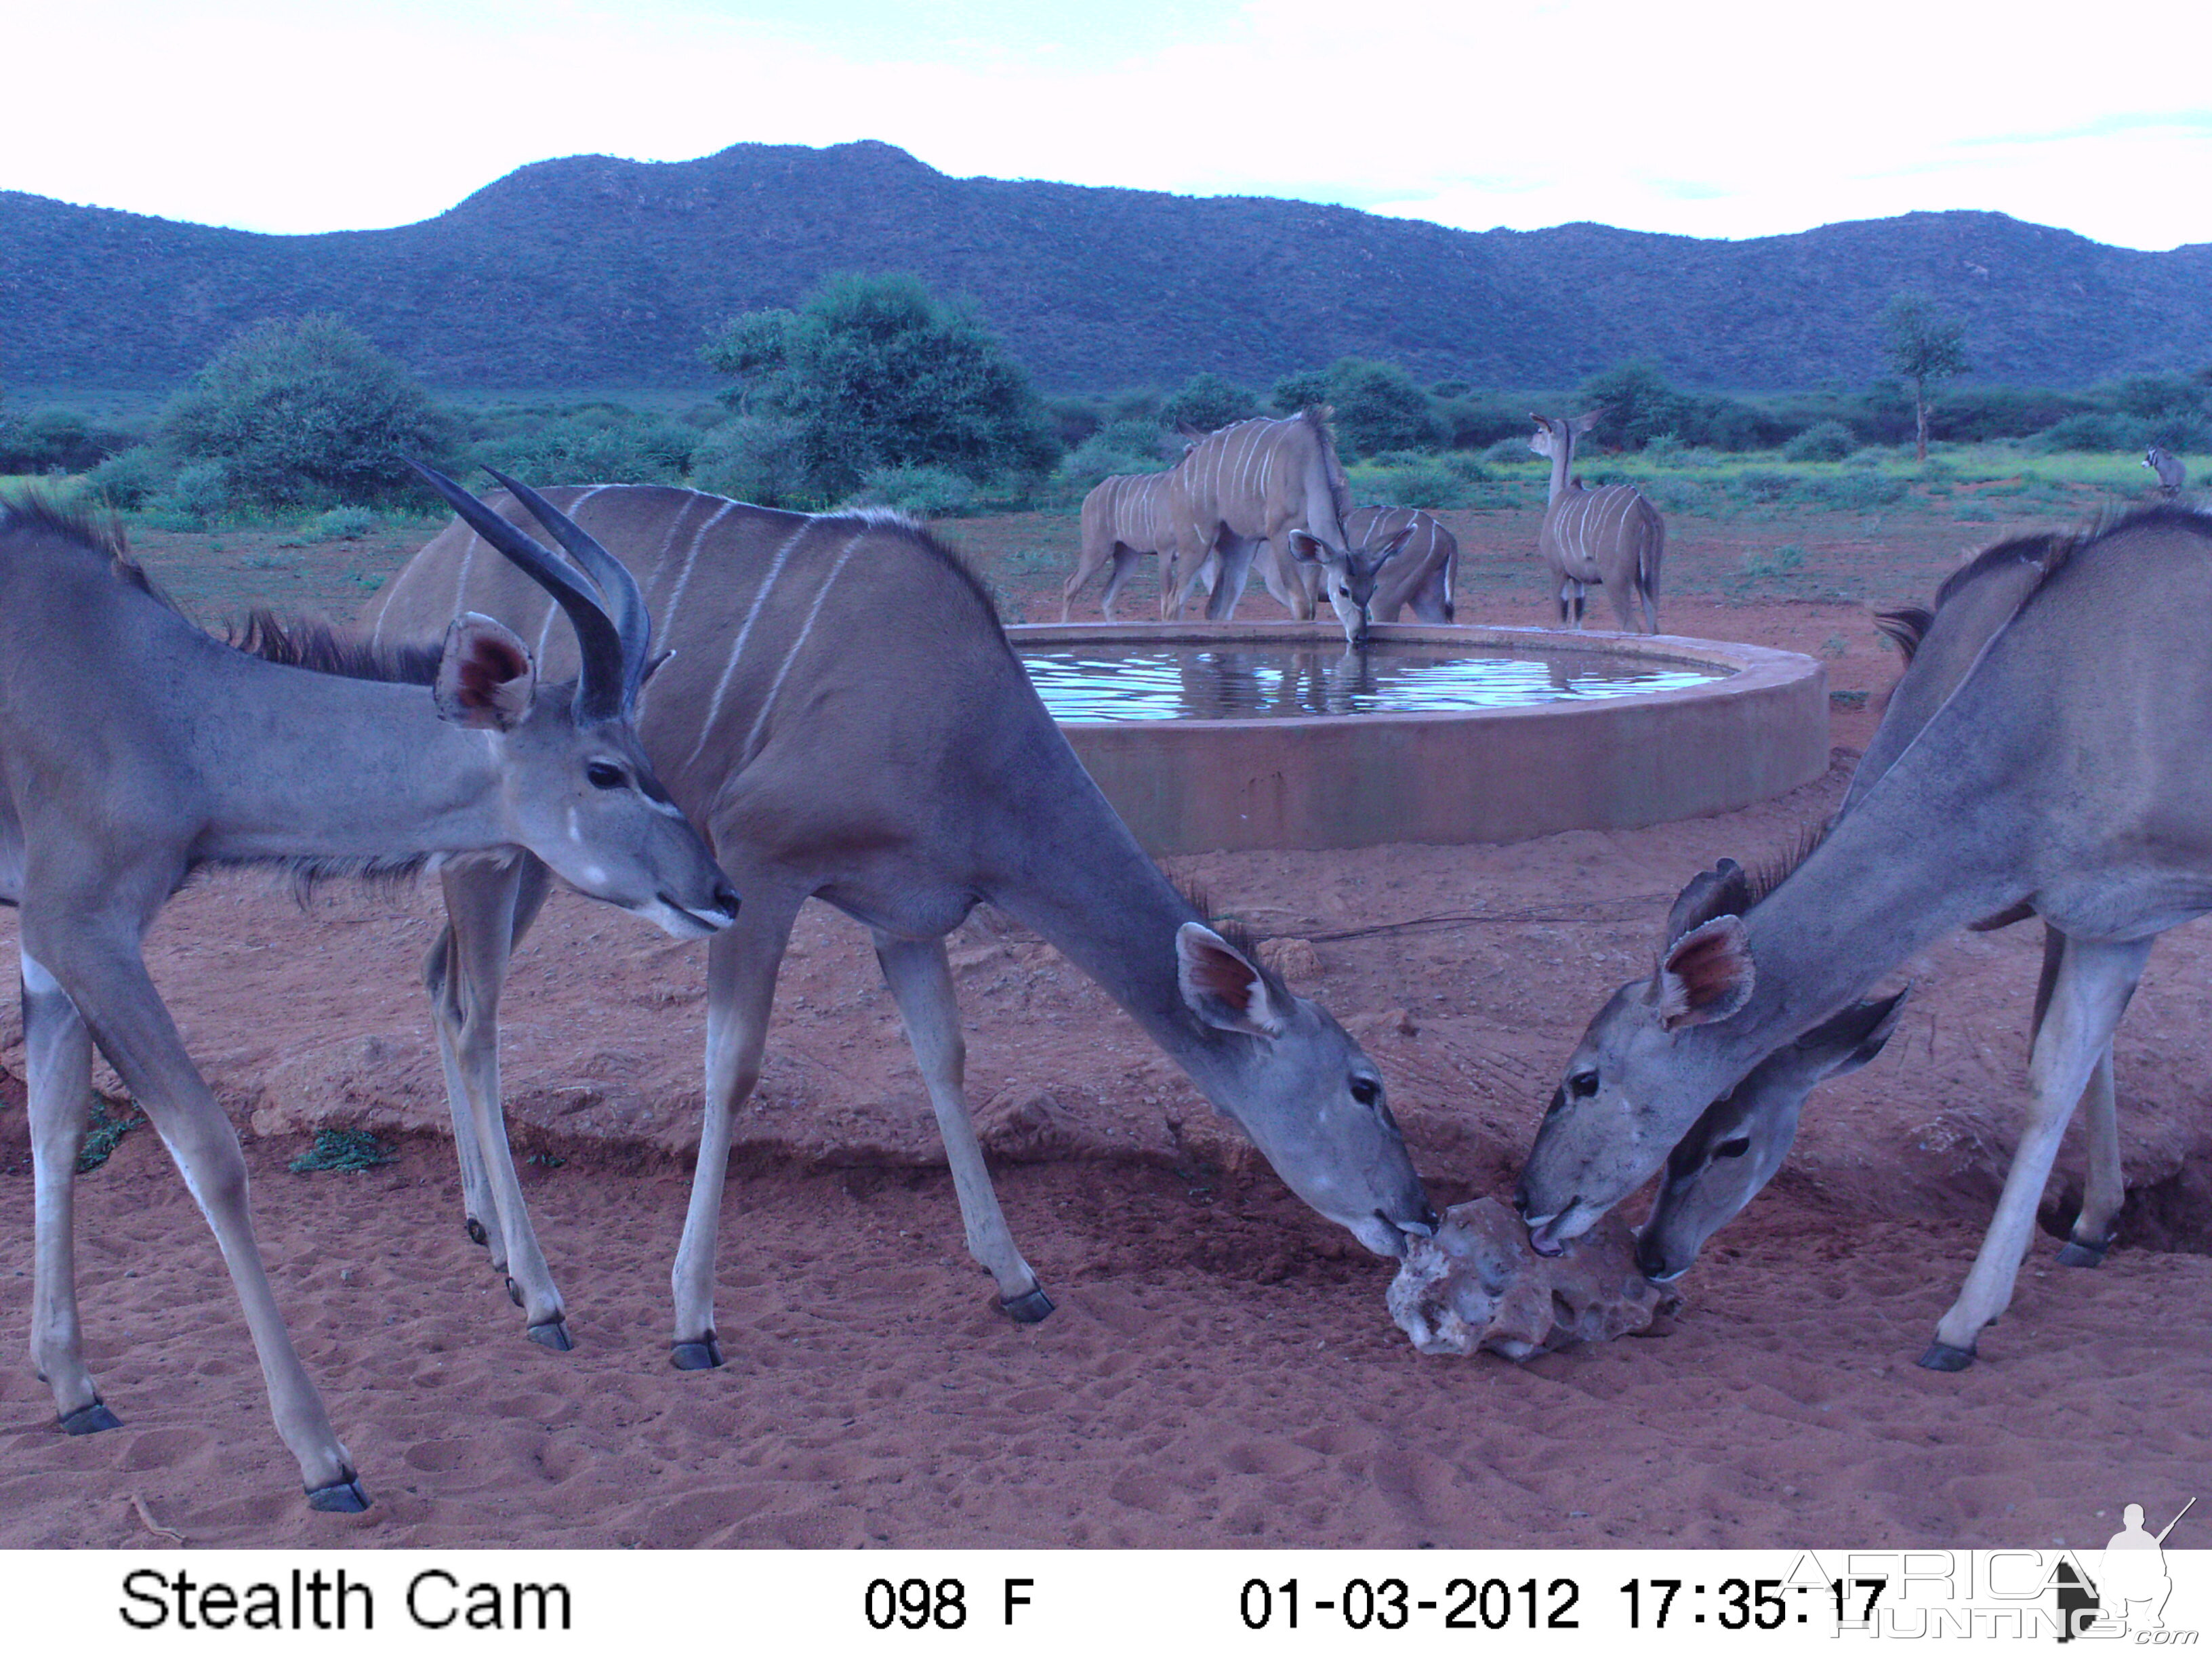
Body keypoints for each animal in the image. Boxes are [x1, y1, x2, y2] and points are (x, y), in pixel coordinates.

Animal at [6, 473, 734, 1513]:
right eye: (603, 769)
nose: (721, 892)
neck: (155, 700)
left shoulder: (48, 942)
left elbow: (55, 1124)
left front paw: (71, 1385)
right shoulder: (80, 925)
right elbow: (210, 1153)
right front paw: (323, 1457)